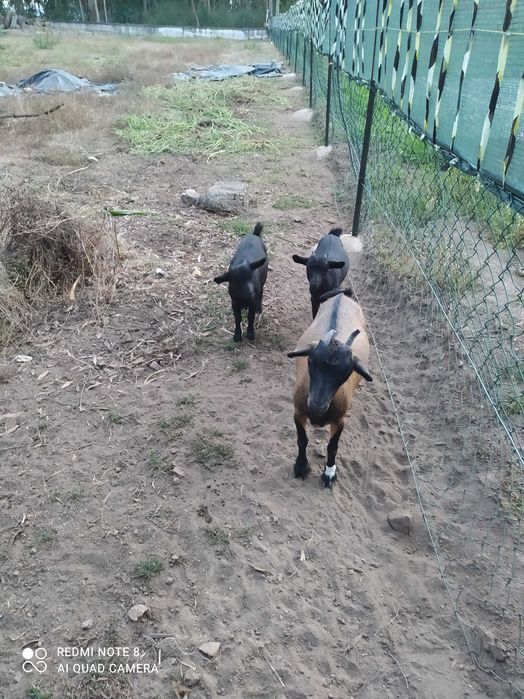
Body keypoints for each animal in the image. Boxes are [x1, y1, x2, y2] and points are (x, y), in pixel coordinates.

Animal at [287, 288, 372, 487]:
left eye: (346, 372)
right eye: (310, 360)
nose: (316, 405)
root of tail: (342, 295)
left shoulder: (339, 421)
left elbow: (333, 447)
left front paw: (329, 473)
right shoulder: (298, 412)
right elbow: (302, 440)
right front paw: (301, 467)